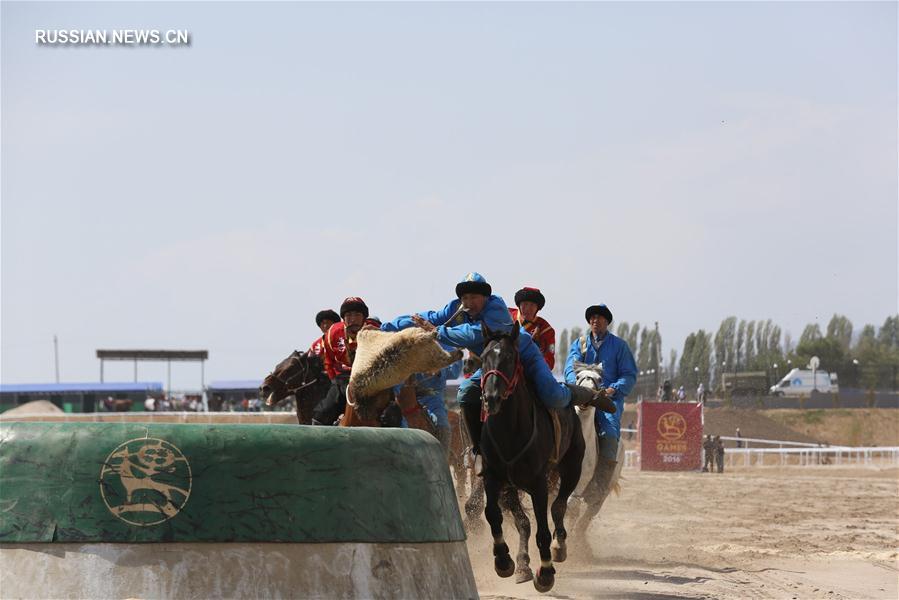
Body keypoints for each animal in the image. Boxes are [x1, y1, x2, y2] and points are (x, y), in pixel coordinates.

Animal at [482, 322, 588, 592]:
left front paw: (546, 573)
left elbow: (543, 530)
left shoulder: (538, 484)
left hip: (572, 468)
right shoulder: (493, 478)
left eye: (510, 357)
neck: (510, 431)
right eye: (484, 357)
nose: (491, 398)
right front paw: (503, 560)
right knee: (526, 521)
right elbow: (494, 514)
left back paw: (559, 547)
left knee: (559, 507)